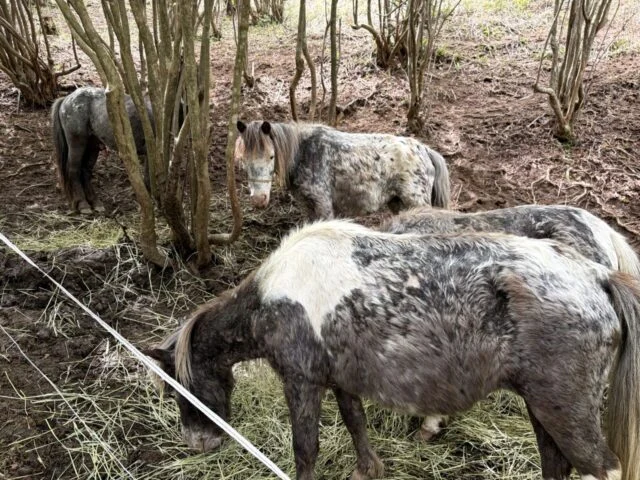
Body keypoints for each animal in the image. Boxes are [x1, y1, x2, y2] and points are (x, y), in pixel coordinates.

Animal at [234, 120, 451, 219]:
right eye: (244, 159)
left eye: (271, 156)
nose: (259, 200)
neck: (305, 152)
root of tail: (425, 150)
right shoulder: (308, 207)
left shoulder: (323, 205)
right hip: (399, 203)